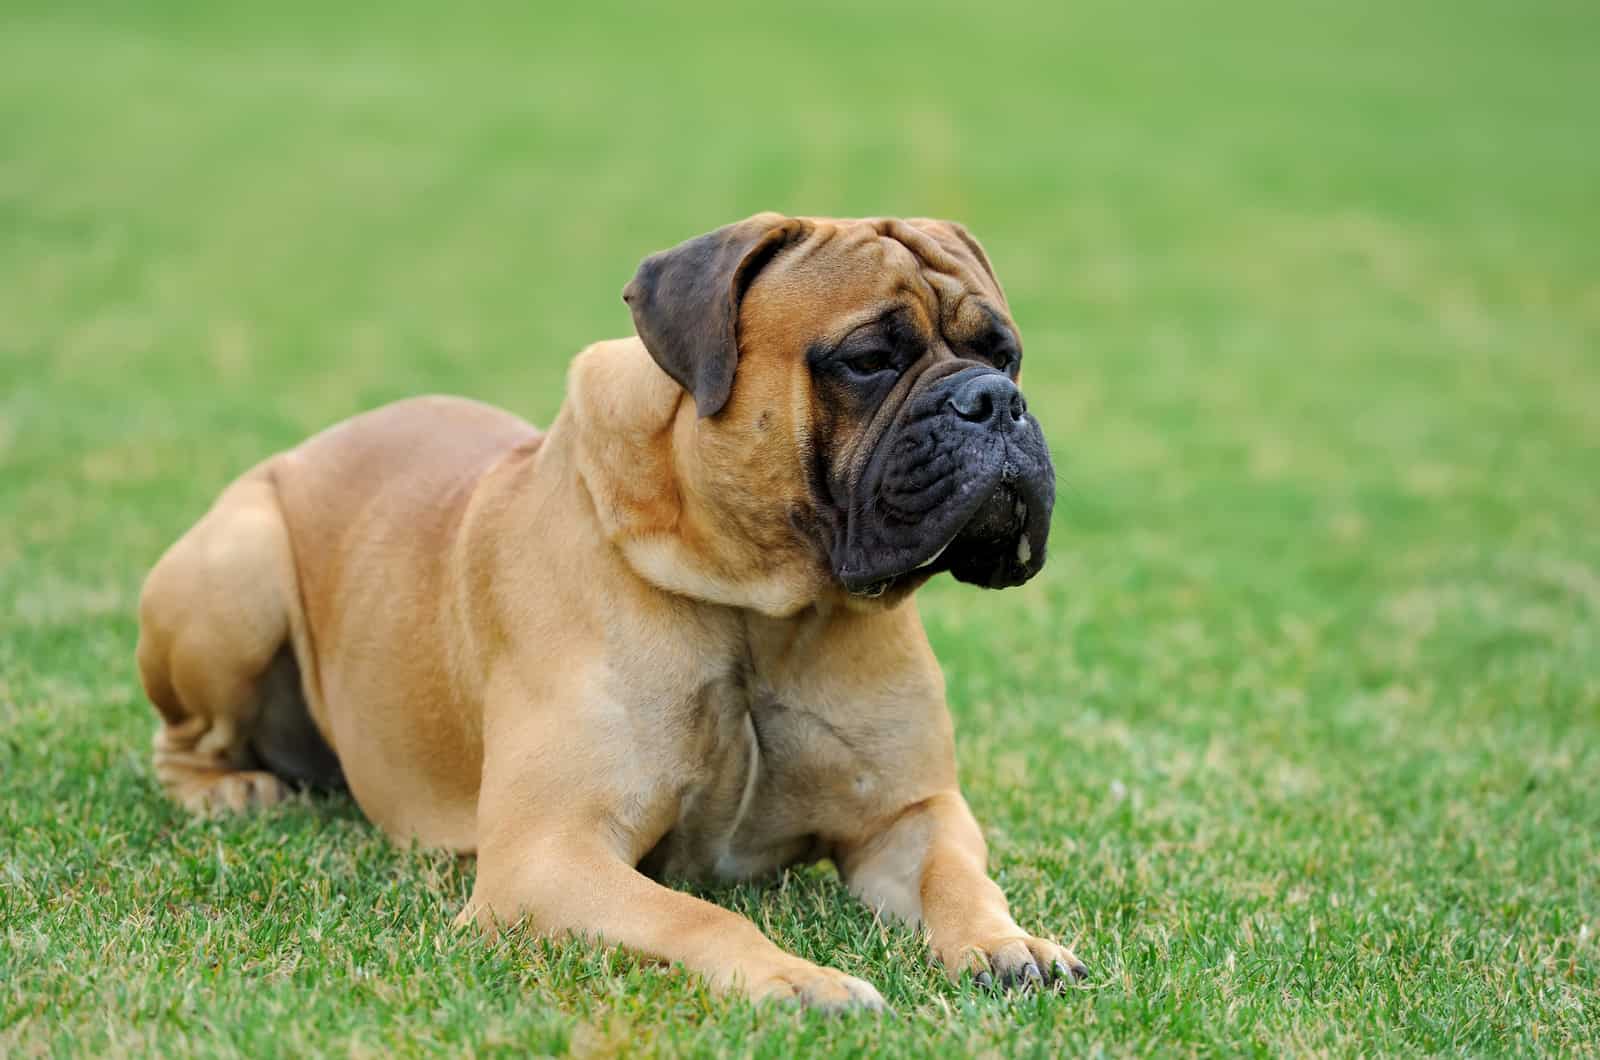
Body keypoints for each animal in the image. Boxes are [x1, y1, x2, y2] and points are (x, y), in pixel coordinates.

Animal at [137, 214, 1088, 1011]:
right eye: (867, 359)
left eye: (1004, 353)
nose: (995, 402)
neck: (759, 607)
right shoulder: (549, 856)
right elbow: (698, 914)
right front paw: (796, 978)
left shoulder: (910, 815)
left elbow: (957, 878)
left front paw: (1010, 942)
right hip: (240, 567)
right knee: (181, 744)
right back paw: (232, 790)